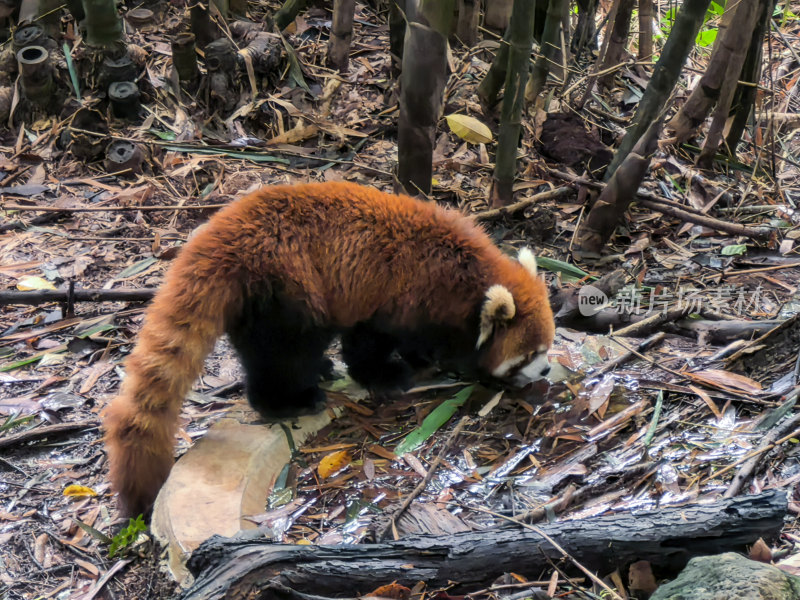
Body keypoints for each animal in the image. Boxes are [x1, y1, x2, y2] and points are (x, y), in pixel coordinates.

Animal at [103, 182, 552, 516]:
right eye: (530, 355)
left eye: (547, 349)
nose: (547, 372)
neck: (465, 277)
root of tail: (225, 230)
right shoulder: (397, 295)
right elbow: (368, 343)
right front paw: (388, 376)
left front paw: (426, 360)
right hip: (288, 286)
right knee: (283, 353)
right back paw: (289, 401)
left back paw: (316, 372)